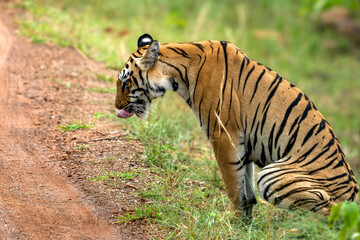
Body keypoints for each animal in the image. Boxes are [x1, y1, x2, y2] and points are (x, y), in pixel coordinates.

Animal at [114, 33, 358, 219]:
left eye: (125, 82)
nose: (117, 106)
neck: (179, 73)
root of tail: (353, 197)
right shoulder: (245, 143)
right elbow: (246, 191)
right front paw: (246, 225)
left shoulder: (223, 135)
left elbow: (233, 187)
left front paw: (233, 222)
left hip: (273, 175)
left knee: (329, 214)